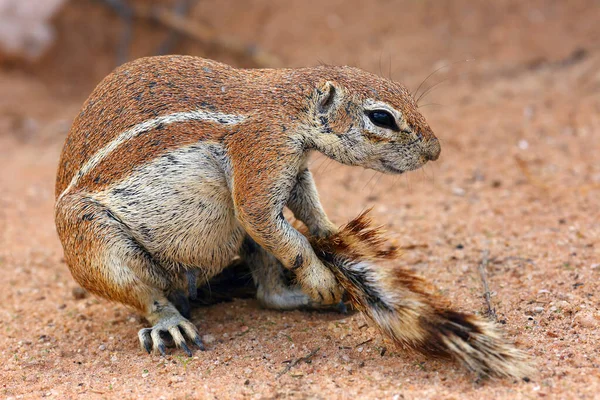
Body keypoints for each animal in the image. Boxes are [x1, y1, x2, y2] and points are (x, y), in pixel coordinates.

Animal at [56, 54, 440, 356]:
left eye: (404, 91)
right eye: (381, 118)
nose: (434, 151)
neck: (290, 106)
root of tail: (186, 287)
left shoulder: (295, 168)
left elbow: (307, 204)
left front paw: (331, 232)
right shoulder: (263, 148)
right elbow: (272, 224)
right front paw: (321, 279)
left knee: (268, 295)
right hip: (96, 245)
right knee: (147, 297)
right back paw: (170, 324)